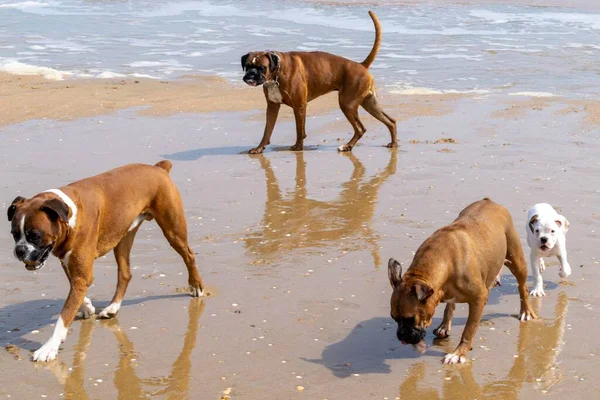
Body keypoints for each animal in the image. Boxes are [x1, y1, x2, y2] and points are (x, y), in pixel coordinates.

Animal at [7, 160, 204, 362]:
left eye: (35, 236)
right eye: (14, 234)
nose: (19, 250)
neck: (69, 215)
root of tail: (158, 167)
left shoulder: (81, 274)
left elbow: (64, 316)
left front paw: (49, 347)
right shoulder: (71, 265)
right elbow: (74, 292)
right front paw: (86, 306)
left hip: (173, 230)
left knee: (189, 255)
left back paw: (196, 285)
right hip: (123, 238)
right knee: (125, 273)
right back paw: (112, 308)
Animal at [239, 10, 398, 155]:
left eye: (262, 68)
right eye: (247, 66)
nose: (250, 75)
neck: (277, 72)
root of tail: (361, 65)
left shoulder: (299, 106)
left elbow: (299, 129)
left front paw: (298, 147)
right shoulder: (272, 107)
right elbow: (267, 130)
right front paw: (259, 148)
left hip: (347, 104)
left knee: (360, 128)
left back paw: (347, 146)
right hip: (369, 103)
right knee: (390, 121)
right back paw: (393, 144)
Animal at [386, 198, 536, 364]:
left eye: (411, 319)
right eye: (393, 318)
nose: (401, 335)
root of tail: (488, 200)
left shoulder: (478, 298)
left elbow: (468, 330)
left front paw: (458, 353)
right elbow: (449, 307)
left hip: (517, 261)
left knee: (522, 288)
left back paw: (526, 311)